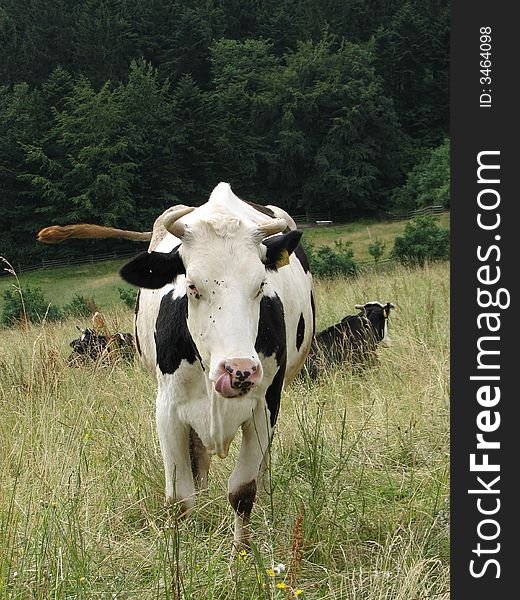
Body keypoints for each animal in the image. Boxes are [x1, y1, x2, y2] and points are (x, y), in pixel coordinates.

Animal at [38, 183, 314, 548]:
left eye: (261, 286)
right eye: (192, 286)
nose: (239, 370)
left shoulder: (264, 405)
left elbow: (243, 490)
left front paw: (241, 553)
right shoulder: (168, 411)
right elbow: (180, 499)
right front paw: (180, 554)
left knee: (260, 467)